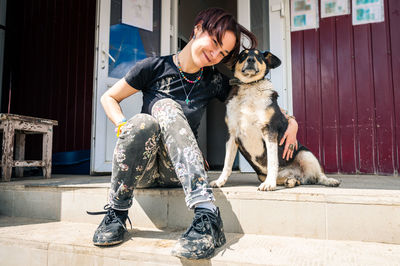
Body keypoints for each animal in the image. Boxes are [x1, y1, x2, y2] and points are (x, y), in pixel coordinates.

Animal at [209, 49, 340, 191]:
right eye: (243, 55)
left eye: (259, 56)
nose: (251, 60)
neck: (250, 86)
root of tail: (300, 175)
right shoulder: (232, 135)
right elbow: (227, 164)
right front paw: (220, 182)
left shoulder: (269, 131)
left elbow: (272, 162)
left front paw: (269, 184)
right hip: (263, 175)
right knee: (295, 179)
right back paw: (291, 181)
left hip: (305, 154)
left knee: (319, 176)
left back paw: (330, 181)